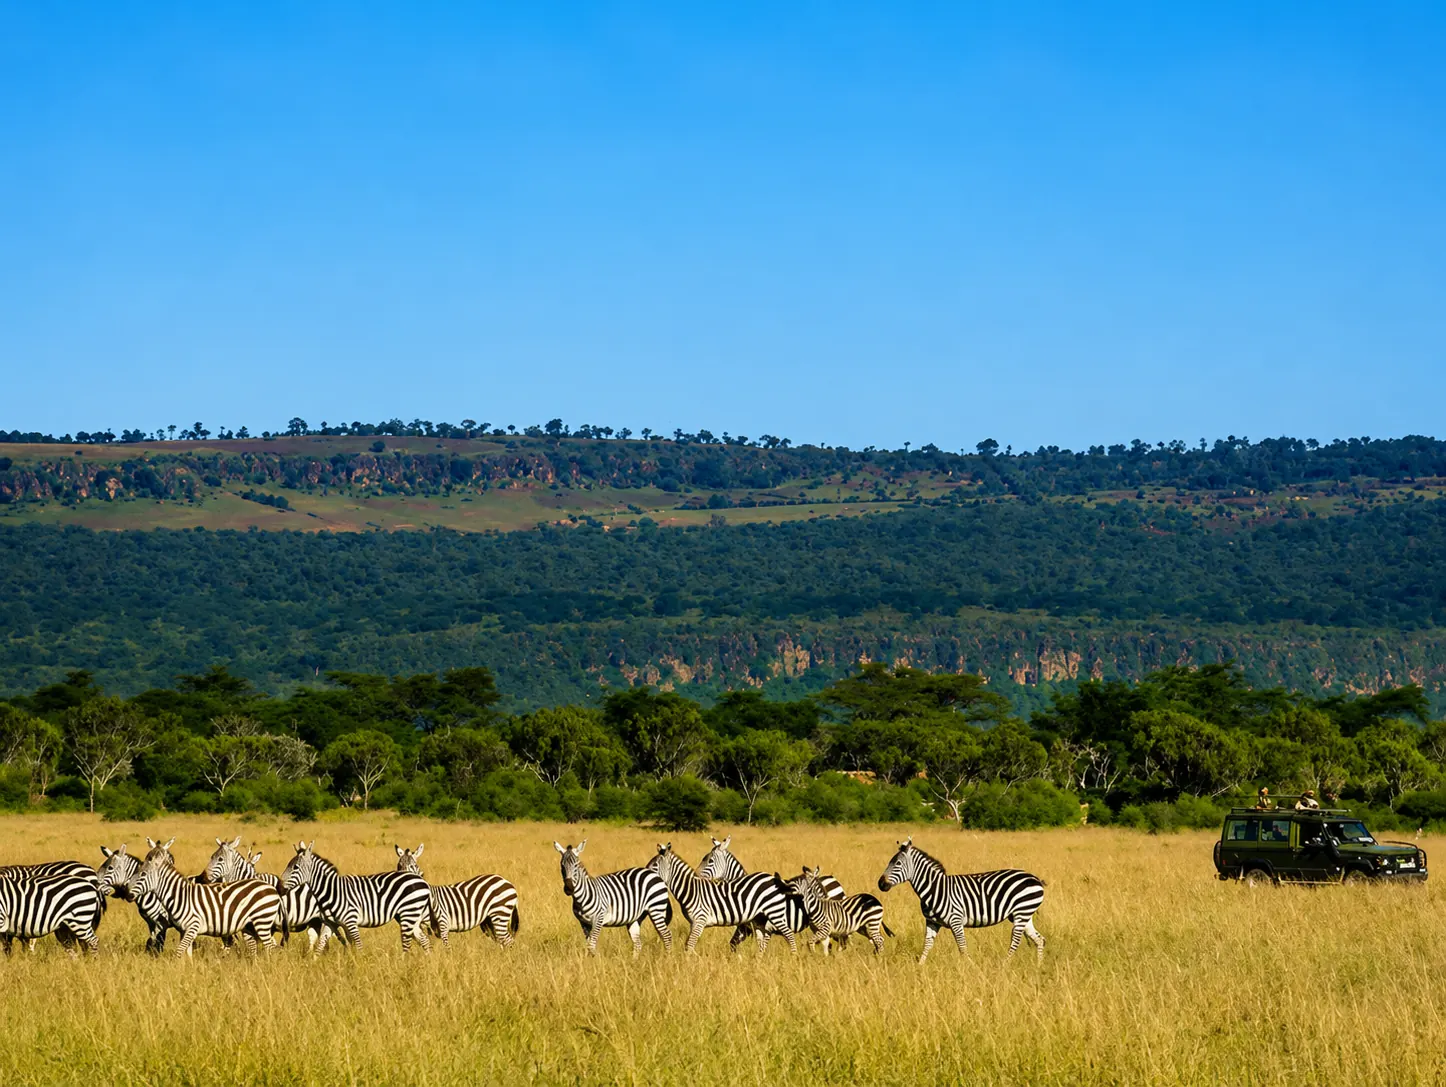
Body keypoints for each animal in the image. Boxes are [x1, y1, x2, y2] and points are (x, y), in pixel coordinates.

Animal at [128, 839, 282, 957]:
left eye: (142, 874)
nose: (127, 893)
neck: (179, 895)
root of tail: (270, 887)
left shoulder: (191, 926)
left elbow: (178, 952)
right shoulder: (184, 930)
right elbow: (186, 953)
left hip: (262, 922)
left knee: (270, 947)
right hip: (251, 925)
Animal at [281, 841, 431, 953]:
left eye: (295, 867)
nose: (279, 887)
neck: (331, 890)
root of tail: (421, 880)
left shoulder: (351, 921)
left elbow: (358, 946)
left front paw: (360, 966)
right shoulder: (331, 923)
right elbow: (321, 944)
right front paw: (313, 964)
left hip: (408, 913)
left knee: (407, 943)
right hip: (409, 916)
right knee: (424, 940)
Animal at [645, 843, 798, 956]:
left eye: (654, 866)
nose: (643, 873)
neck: (691, 890)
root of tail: (773, 878)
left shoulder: (700, 920)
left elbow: (689, 945)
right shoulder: (693, 923)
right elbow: (689, 945)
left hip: (775, 912)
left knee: (789, 935)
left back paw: (793, 957)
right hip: (760, 918)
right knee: (762, 940)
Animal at [697, 836, 845, 950]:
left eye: (710, 861)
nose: (696, 876)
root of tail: (833, 879)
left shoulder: (750, 927)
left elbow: (747, 944)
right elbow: (738, 944)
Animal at [877, 837, 1045, 963]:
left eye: (898, 863)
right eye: (889, 862)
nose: (880, 884)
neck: (935, 888)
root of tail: (1034, 878)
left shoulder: (955, 920)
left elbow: (962, 947)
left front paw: (970, 967)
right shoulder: (932, 922)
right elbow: (927, 945)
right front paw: (920, 966)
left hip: (1022, 912)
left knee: (1016, 941)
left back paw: (1004, 965)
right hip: (1023, 915)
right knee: (1039, 939)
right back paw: (1038, 966)